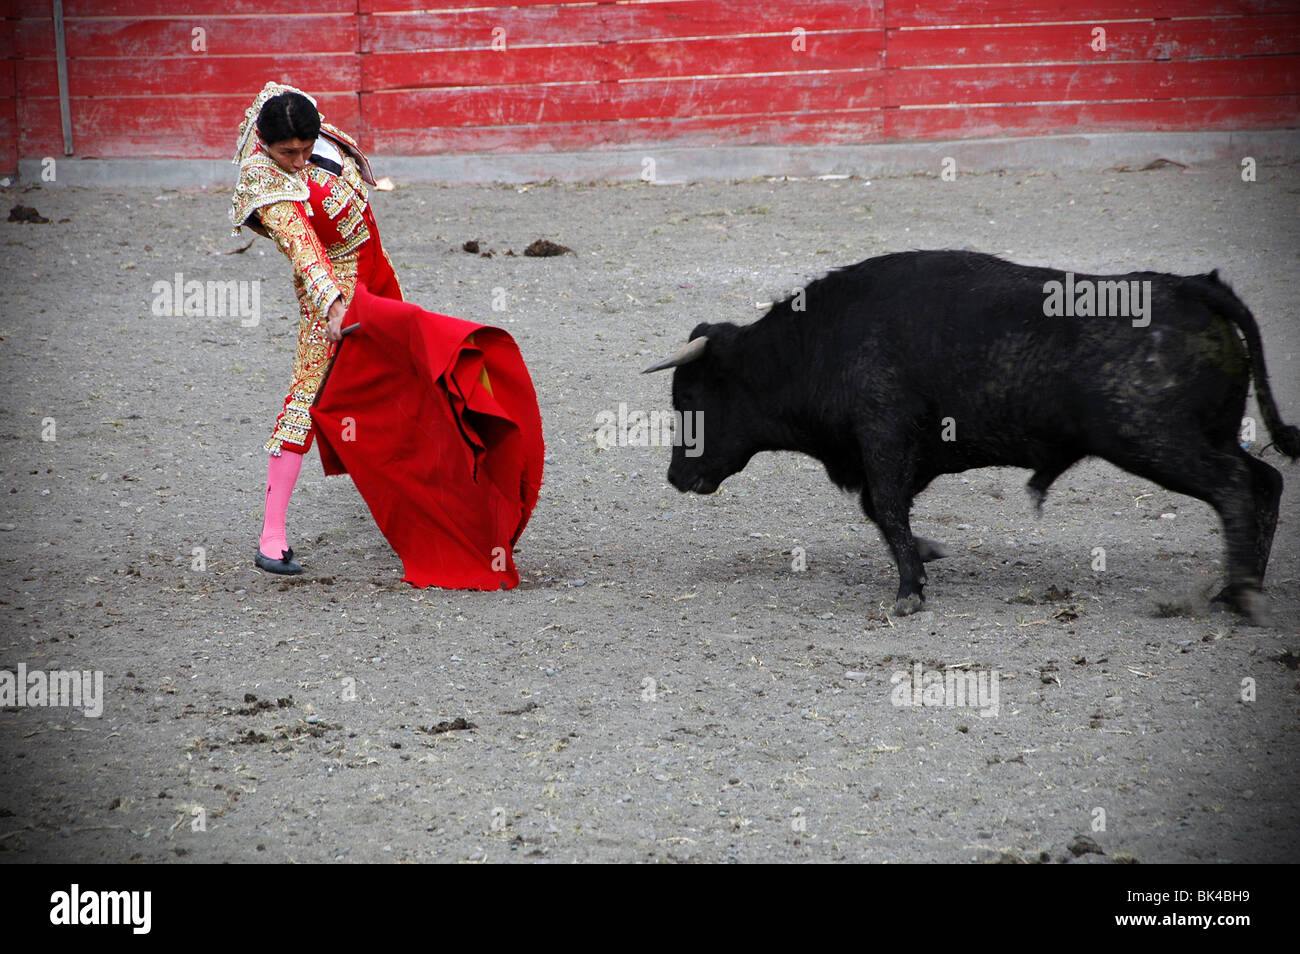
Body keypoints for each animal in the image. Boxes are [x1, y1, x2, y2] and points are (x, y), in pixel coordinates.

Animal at [644, 250, 1294, 623]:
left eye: (689, 398)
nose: (675, 475)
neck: (816, 344)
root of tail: (1192, 286)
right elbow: (881, 509)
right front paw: (926, 557)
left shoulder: (884, 439)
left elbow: (885, 506)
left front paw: (909, 591)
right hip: (1201, 438)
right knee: (1264, 482)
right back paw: (1240, 587)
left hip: (1156, 443)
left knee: (1235, 489)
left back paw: (1242, 597)